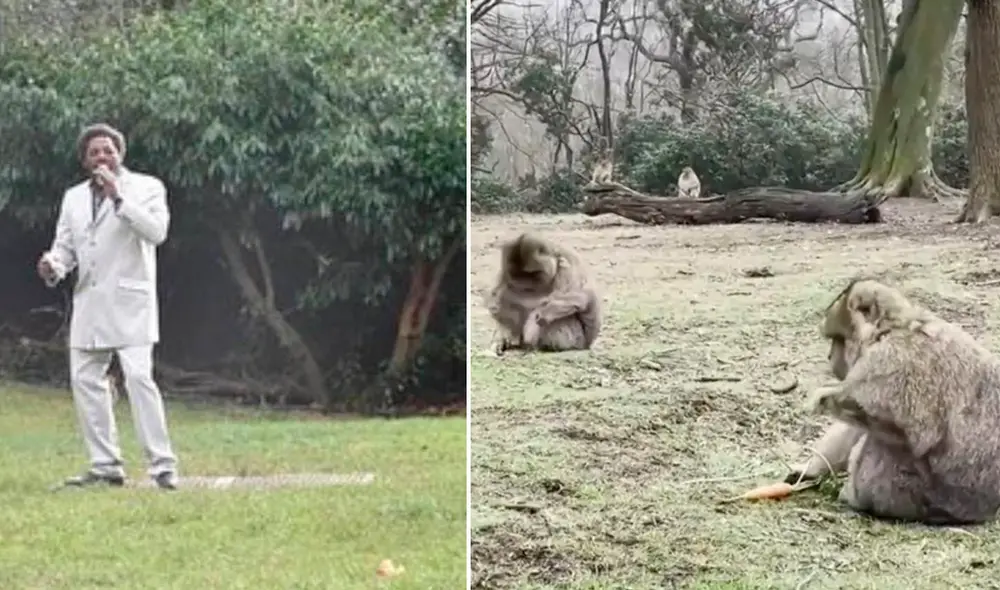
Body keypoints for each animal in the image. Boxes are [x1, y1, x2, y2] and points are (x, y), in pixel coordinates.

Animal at [785, 279, 1000, 525]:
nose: (830, 357)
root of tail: (983, 511)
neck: (892, 328)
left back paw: (854, 497)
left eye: (837, 339)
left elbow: (914, 432)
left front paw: (824, 398)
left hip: (914, 495)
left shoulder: (891, 358)